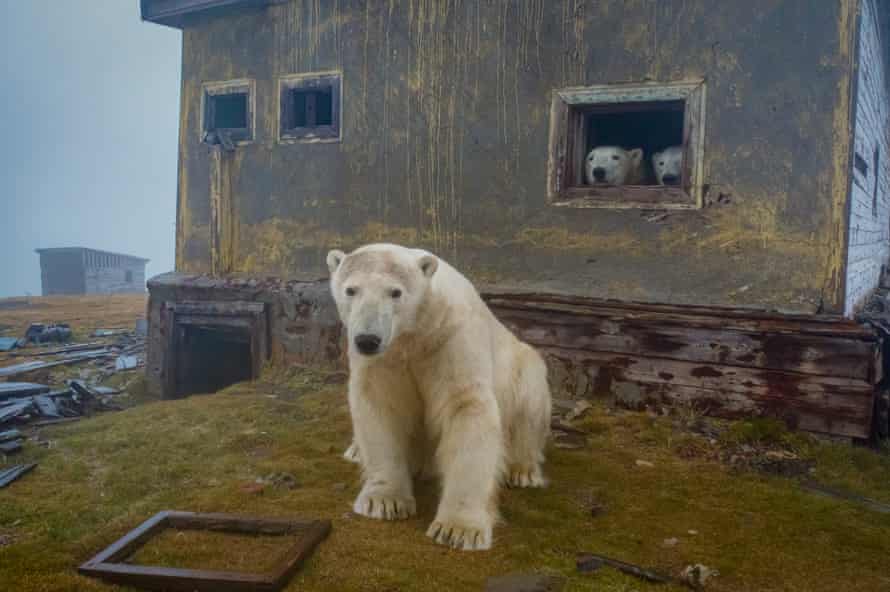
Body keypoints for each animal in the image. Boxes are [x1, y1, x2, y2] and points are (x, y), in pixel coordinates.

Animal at [327, 243, 552, 551]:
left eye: (395, 292)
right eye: (351, 290)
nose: (367, 340)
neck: (414, 334)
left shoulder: (450, 338)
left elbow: (466, 407)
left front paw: (459, 529)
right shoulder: (385, 359)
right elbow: (380, 405)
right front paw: (383, 502)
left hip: (522, 366)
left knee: (529, 403)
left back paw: (523, 470)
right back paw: (355, 450)